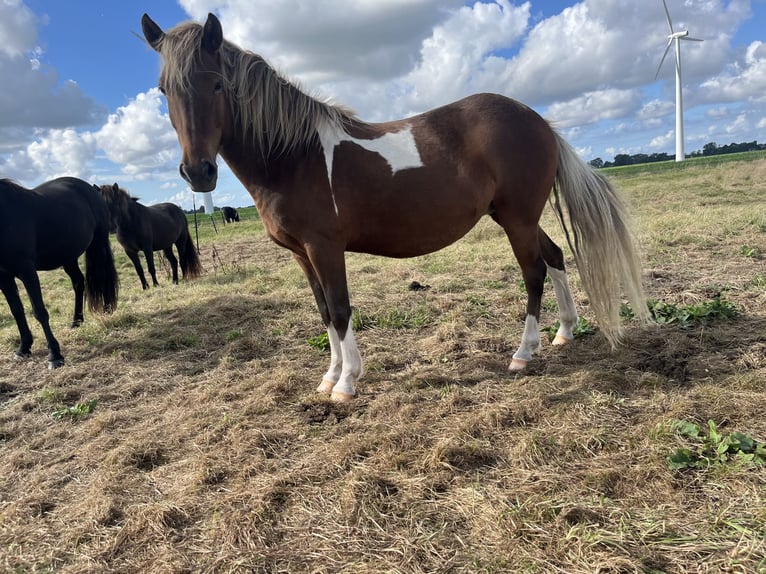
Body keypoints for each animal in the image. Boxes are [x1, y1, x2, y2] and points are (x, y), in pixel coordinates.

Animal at [0, 177, 119, 369]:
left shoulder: (27, 270)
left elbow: (39, 311)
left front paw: (55, 355)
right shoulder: (3, 276)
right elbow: (16, 310)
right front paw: (24, 348)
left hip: (98, 243)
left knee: (102, 276)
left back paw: (107, 311)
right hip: (68, 256)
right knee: (78, 282)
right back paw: (77, 321)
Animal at [141, 13, 648, 401]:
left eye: (217, 84)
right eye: (164, 90)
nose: (199, 173)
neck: (294, 155)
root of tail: (538, 121)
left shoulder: (325, 247)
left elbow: (340, 308)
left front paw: (347, 382)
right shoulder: (302, 254)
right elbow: (323, 311)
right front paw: (328, 376)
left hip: (517, 219)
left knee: (534, 272)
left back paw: (523, 353)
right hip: (513, 216)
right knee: (557, 256)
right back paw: (563, 333)